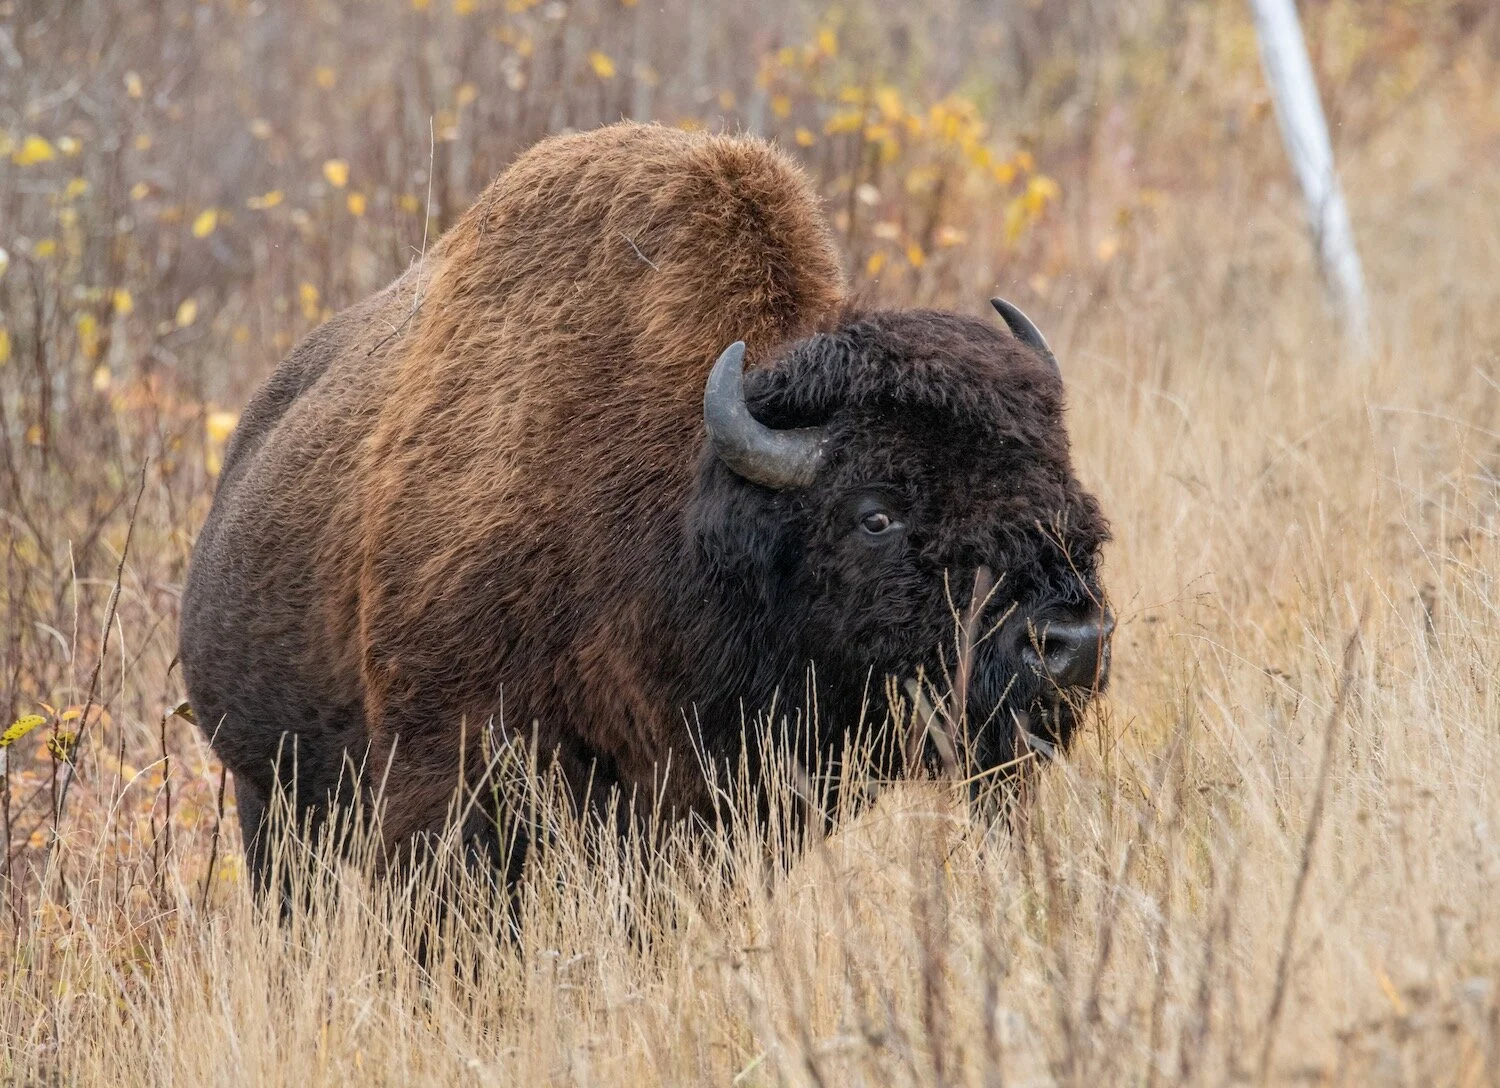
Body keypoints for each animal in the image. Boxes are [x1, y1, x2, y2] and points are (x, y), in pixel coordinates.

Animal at [179, 122, 1111, 890]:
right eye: (875, 513)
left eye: (1064, 483)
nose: (1071, 643)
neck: (683, 506)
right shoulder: (447, 780)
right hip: (268, 797)